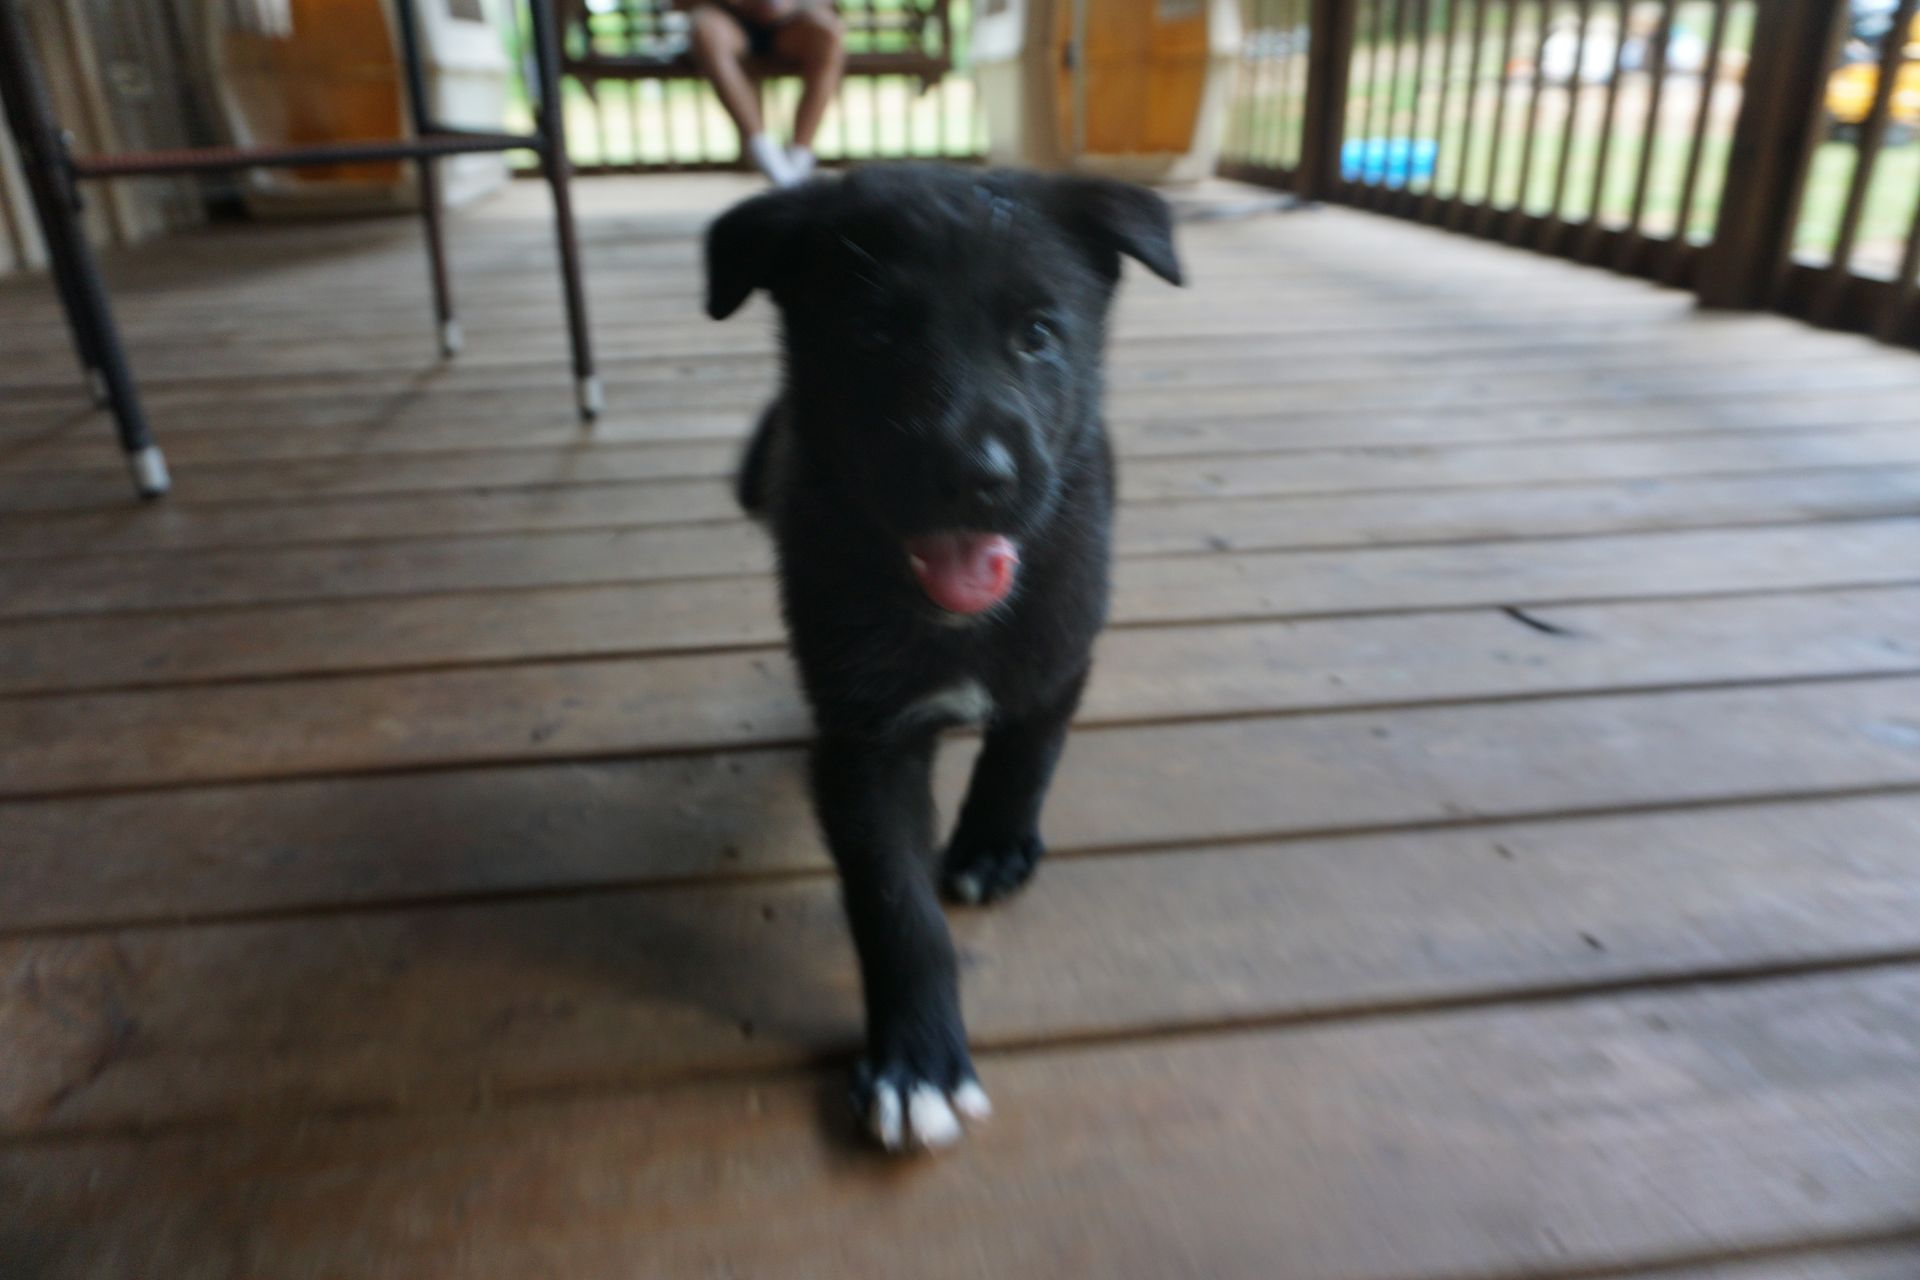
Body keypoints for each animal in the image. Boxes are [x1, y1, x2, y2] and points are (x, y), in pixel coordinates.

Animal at [710, 165, 1182, 1159]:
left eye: (1038, 334)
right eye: (874, 334)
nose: (976, 477)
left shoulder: (1061, 645)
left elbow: (1025, 749)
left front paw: (995, 844)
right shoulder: (864, 740)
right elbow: (896, 905)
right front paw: (916, 1063)